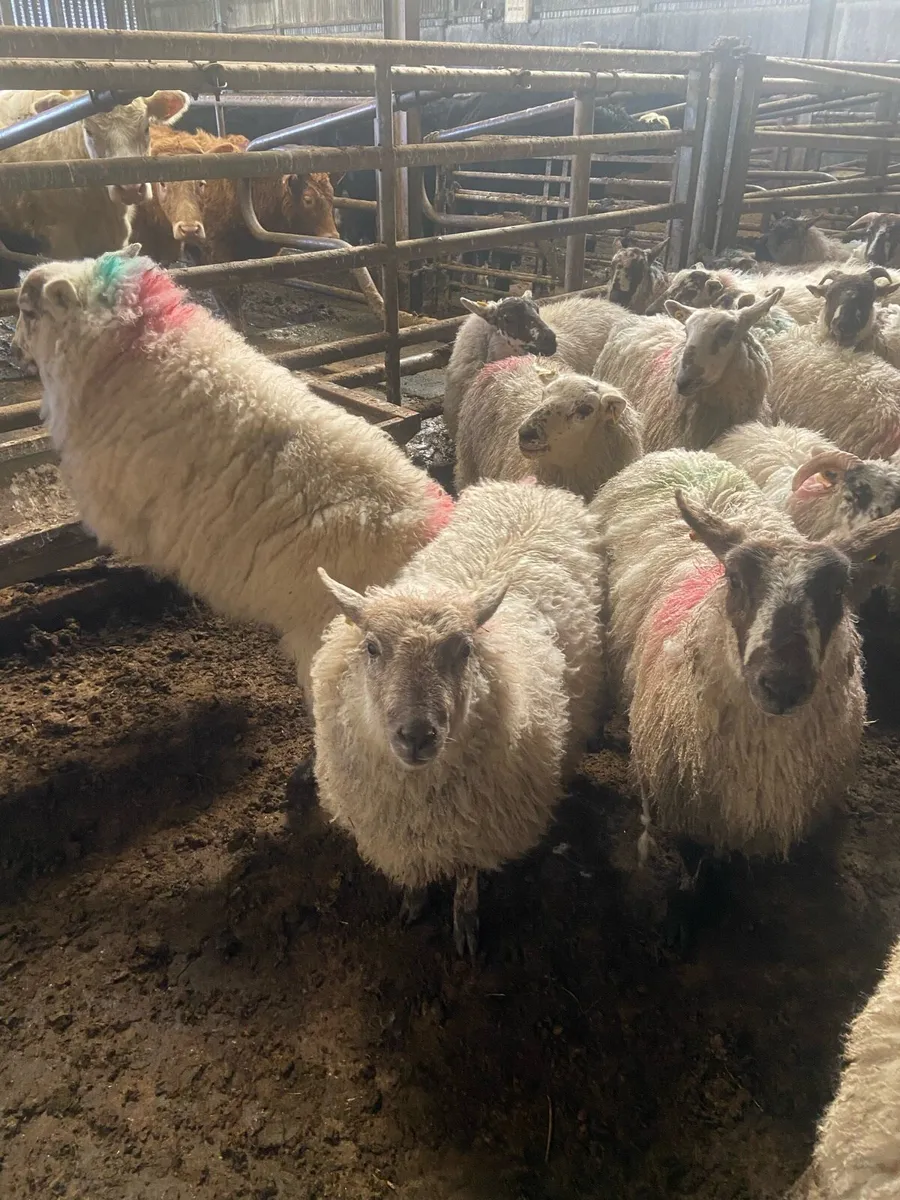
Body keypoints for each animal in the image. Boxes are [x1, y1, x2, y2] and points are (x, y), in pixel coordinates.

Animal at [310, 478, 605, 956]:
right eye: (371, 647)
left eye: (464, 648)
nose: (416, 735)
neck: (420, 793)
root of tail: (535, 487)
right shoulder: (399, 833)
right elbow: (413, 875)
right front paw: (413, 903)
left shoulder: (478, 827)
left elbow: (466, 880)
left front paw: (464, 925)